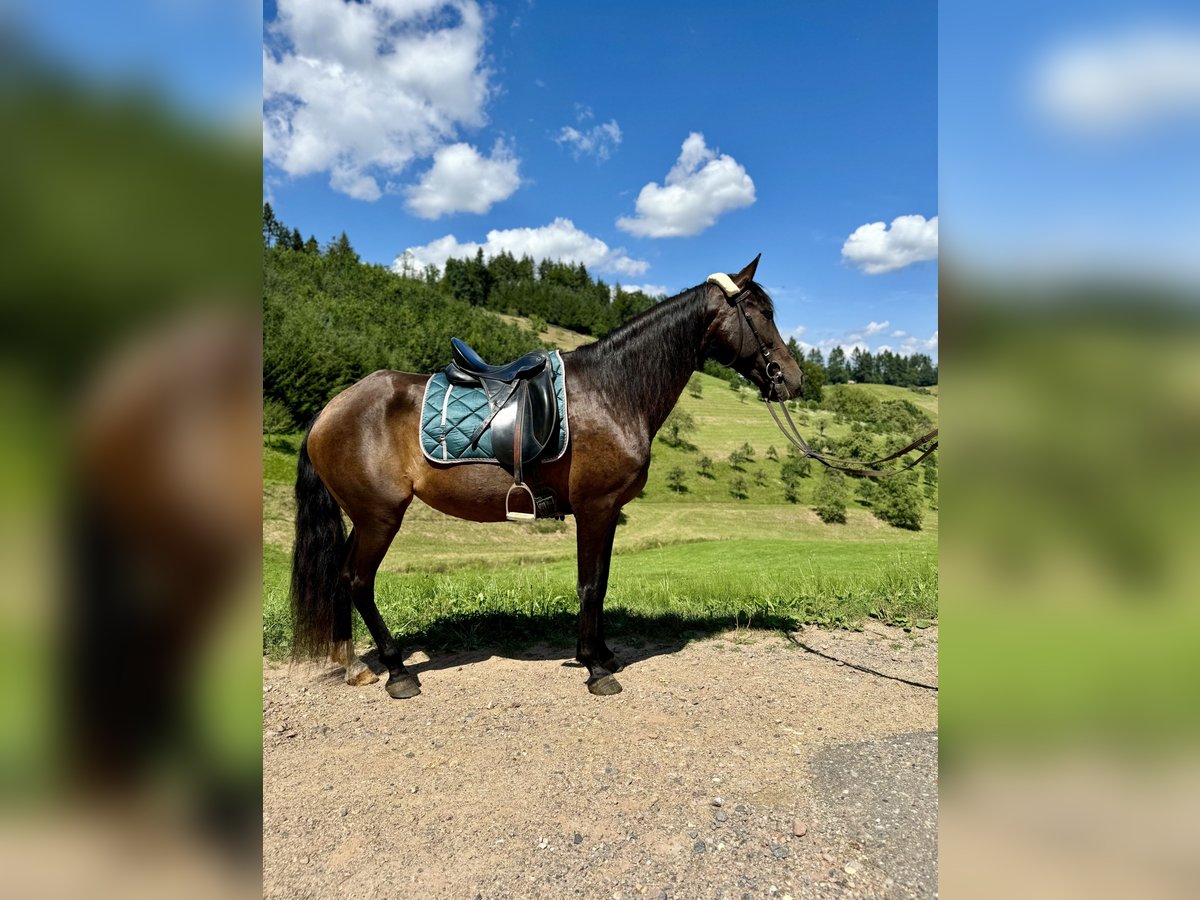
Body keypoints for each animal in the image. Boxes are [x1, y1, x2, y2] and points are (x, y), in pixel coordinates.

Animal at [288, 254, 806, 696]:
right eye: (761, 313)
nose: (793, 379)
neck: (612, 390)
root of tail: (331, 408)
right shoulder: (596, 508)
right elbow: (590, 585)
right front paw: (595, 669)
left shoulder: (606, 512)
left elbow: (600, 581)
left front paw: (602, 654)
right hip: (380, 516)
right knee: (358, 580)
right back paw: (398, 672)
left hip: (366, 517)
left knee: (341, 576)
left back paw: (355, 665)